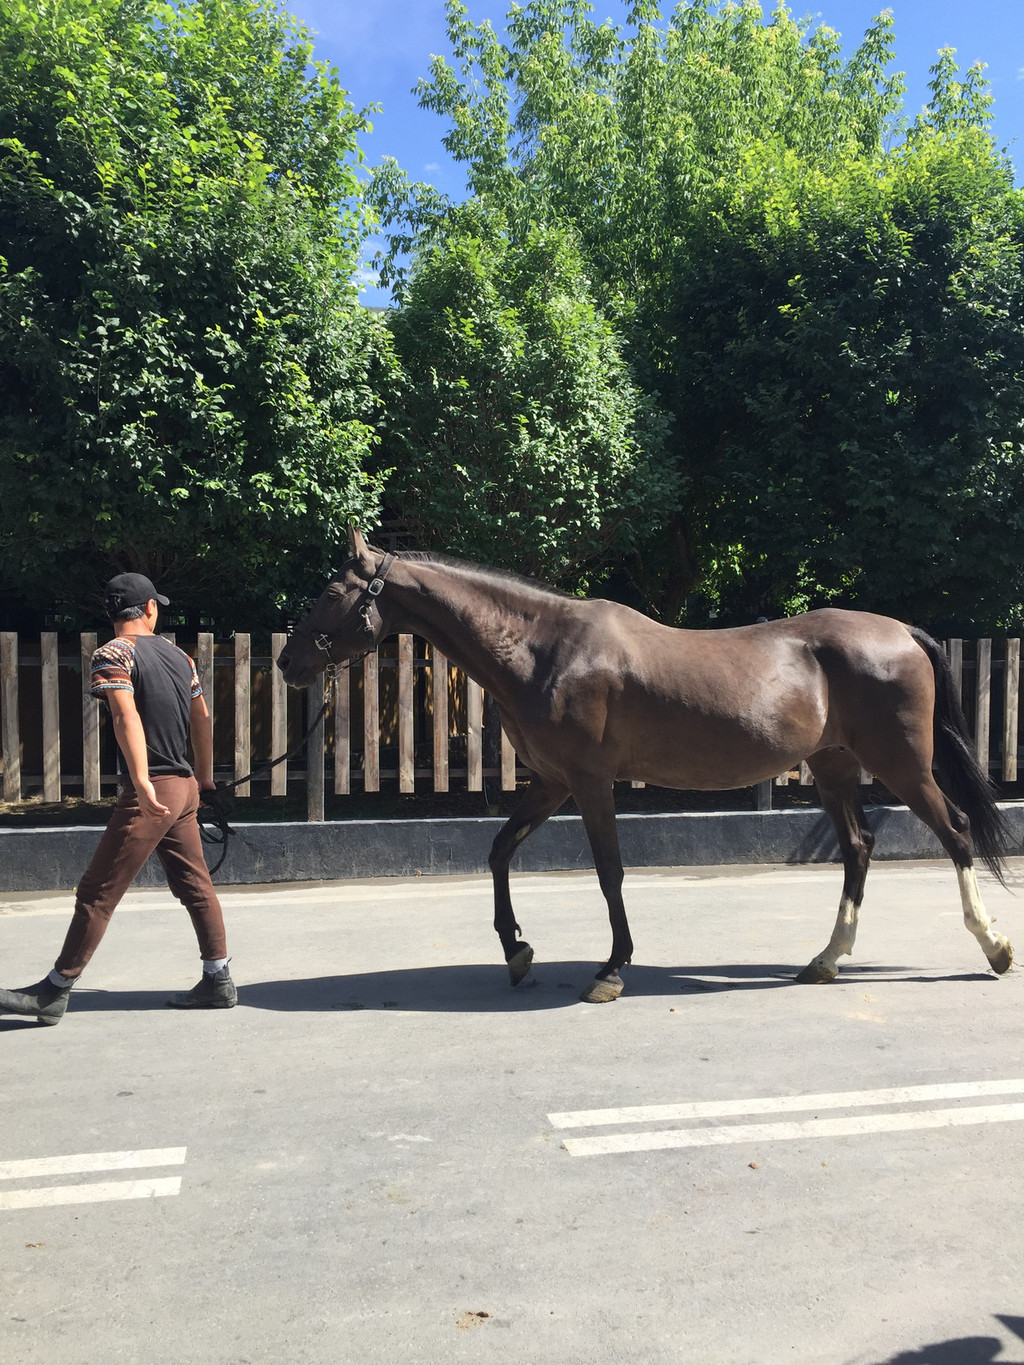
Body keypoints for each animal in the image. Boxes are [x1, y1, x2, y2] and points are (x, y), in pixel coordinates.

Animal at [274, 526, 1021, 999]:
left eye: (333, 592)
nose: (288, 661)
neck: (543, 648)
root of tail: (904, 633)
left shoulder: (589, 782)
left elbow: (609, 872)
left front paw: (611, 968)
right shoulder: (551, 782)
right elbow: (498, 850)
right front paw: (516, 951)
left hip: (902, 765)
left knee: (955, 833)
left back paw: (992, 947)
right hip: (835, 768)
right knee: (860, 848)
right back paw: (826, 959)